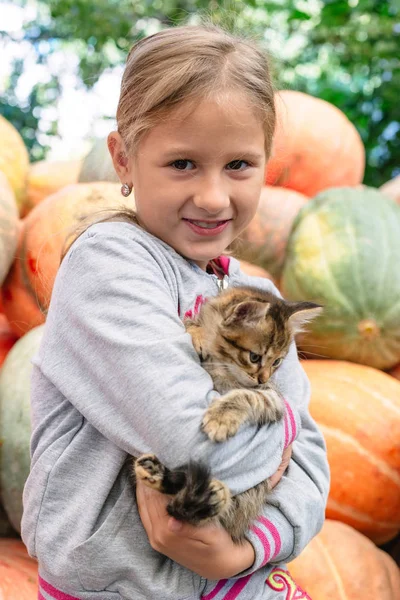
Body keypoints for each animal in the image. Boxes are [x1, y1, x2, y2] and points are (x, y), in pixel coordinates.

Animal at [134, 286, 322, 544]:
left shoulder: (273, 398)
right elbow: (190, 324)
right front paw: (196, 333)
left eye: (277, 362)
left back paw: (210, 496)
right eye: (254, 357)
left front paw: (220, 418)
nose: (263, 378)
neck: (223, 367)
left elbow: (246, 396)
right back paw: (160, 475)